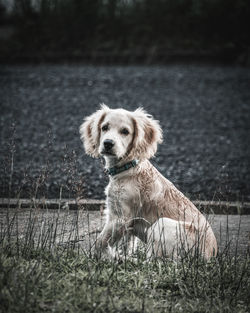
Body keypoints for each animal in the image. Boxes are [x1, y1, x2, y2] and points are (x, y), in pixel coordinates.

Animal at [80, 105, 217, 258]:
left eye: (125, 131)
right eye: (104, 127)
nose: (108, 143)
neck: (129, 167)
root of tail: (209, 254)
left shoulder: (120, 218)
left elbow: (100, 242)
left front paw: (103, 256)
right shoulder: (128, 223)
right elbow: (128, 244)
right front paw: (122, 256)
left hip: (160, 225)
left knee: (155, 260)